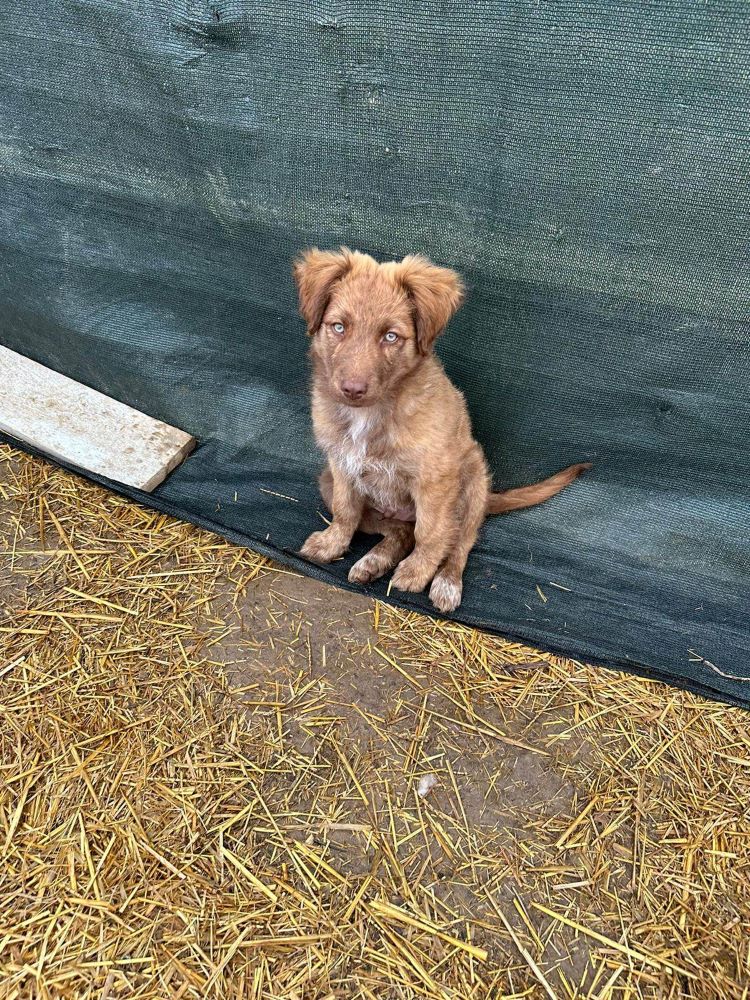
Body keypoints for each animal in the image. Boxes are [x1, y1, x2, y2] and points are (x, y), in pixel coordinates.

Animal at [296, 246, 592, 612]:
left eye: (391, 336)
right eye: (338, 327)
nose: (352, 390)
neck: (373, 413)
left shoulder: (434, 478)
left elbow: (431, 533)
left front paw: (418, 572)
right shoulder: (341, 465)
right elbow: (345, 511)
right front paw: (332, 543)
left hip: (473, 483)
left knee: (458, 541)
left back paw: (446, 582)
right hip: (328, 481)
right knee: (400, 532)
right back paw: (374, 561)